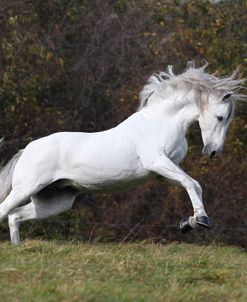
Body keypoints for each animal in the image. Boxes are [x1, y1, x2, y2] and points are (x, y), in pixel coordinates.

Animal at [0, 62, 245, 244]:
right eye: (220, 117)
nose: (213, 152)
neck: (163, 120)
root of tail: (26, 150)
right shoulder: (156, 162)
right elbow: (190, 183)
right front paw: (201, 220)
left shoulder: (162, 173)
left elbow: (193, 184)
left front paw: (190, 223)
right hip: (27, 188)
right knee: (6, 210)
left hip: (56, 201)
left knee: (14, 216)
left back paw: (17, 247)